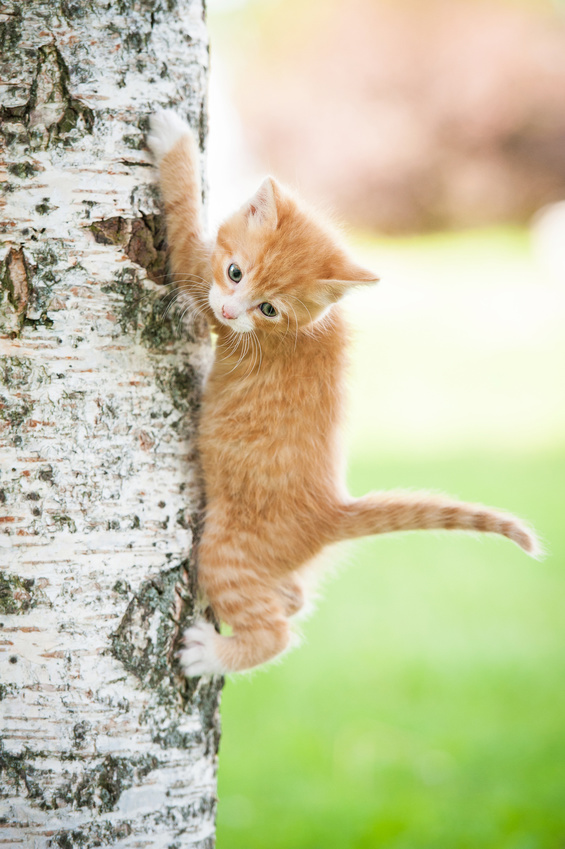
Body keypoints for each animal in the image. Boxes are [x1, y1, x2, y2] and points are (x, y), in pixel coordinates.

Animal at [145, 109, 536, 676]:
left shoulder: (195, 274)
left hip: (225, 550)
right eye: (236, 272)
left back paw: (212, 655)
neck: (309, 327)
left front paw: (173, 139)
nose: (231, 311)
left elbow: (180, 211)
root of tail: (333, 511)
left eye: (269, 309)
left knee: (277, 632)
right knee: (295, 600)